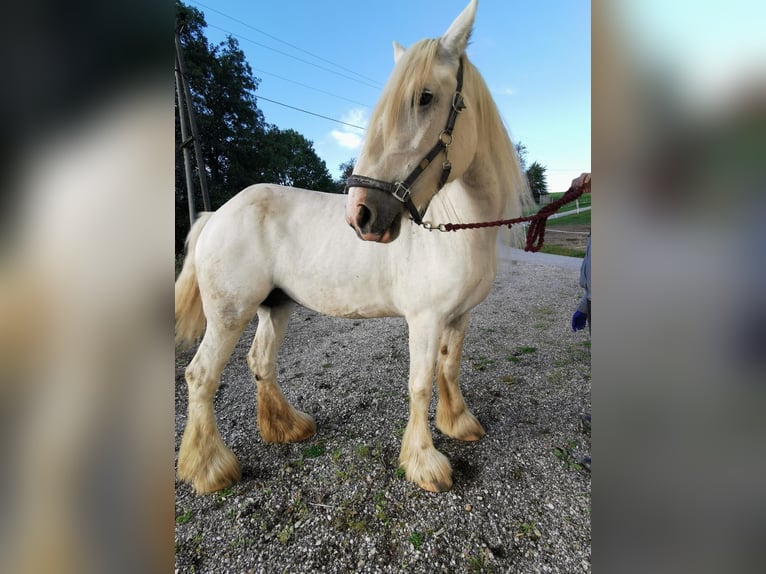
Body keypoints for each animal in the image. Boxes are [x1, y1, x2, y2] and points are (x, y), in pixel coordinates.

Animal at [175, 0, 532, 494]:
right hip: (229, 315)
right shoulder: (425, 319)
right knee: (200, 376)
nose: (361, 214)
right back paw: (210, 469)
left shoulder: (459, 317)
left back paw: (288, 428)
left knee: (260, 360)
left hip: (275, 305)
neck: (460, 229)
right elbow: (420, 382)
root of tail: (216, 215)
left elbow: (450, 367)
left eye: (425, 97)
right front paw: (425, 463)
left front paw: (459, 423)